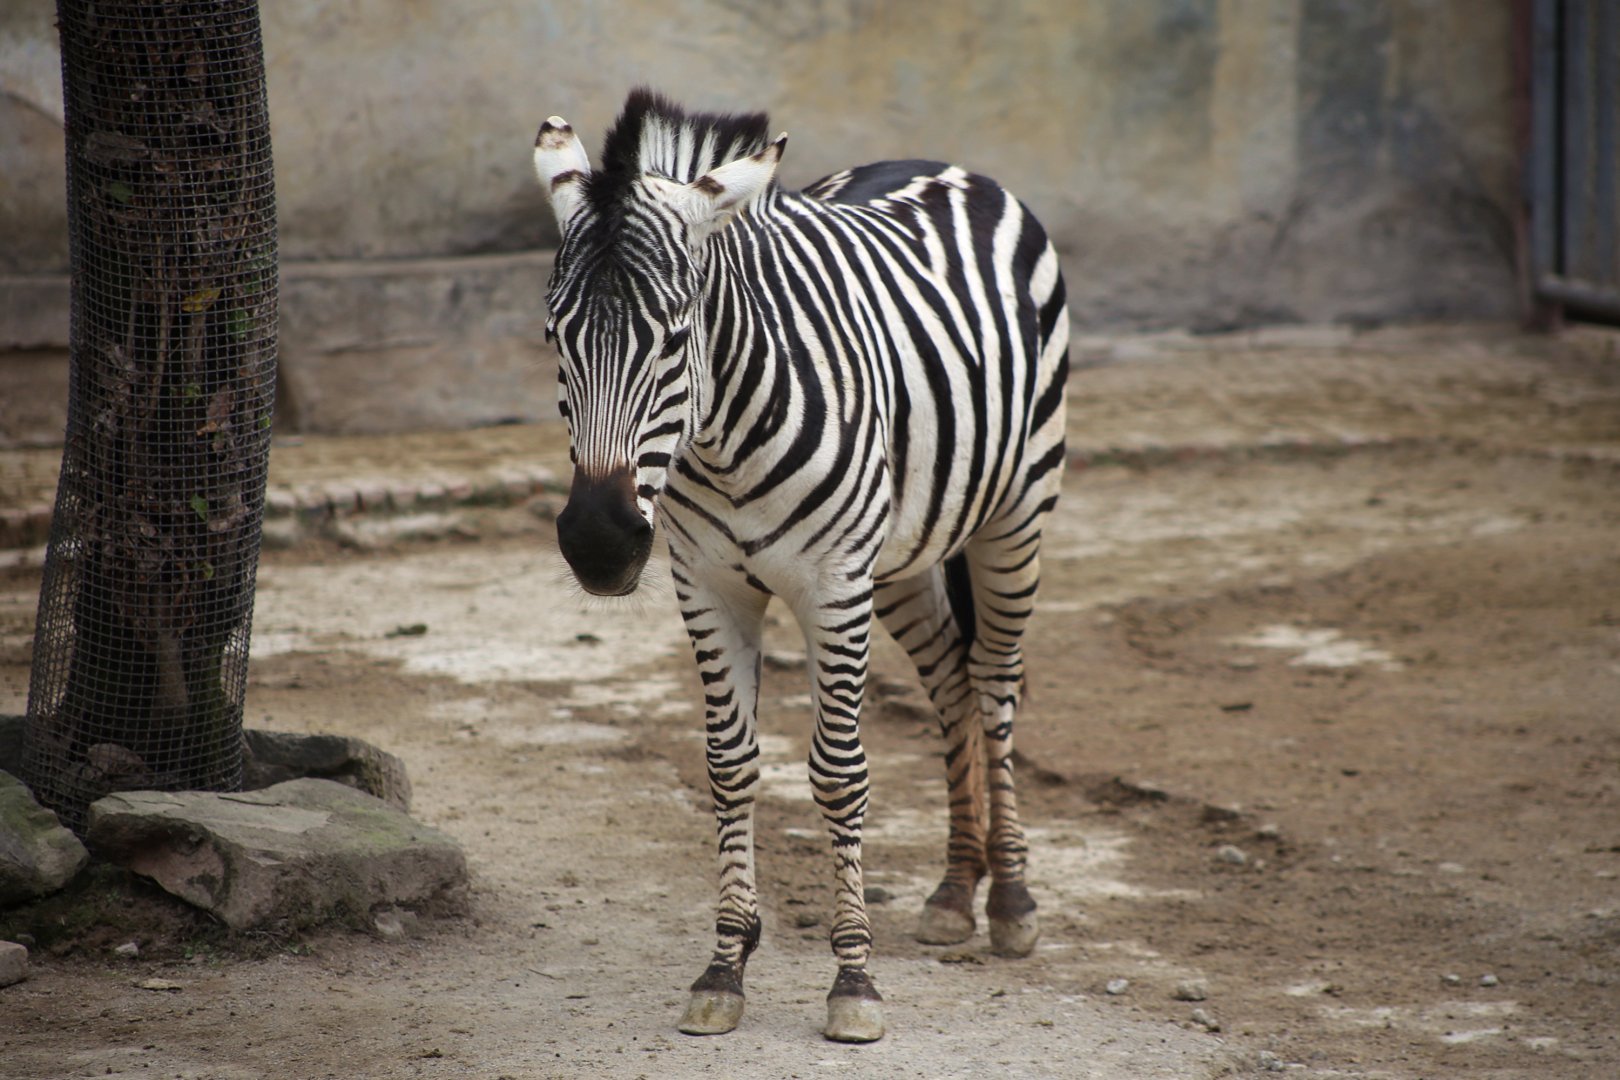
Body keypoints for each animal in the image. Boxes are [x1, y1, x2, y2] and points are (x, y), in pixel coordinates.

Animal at [532, 89, 1068, 1043]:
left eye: (674, 339)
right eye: (555, 336)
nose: (597, 541)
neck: (721, 440)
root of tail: (946, 164)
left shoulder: (831, 587)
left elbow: (839, 773)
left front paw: (853, 981)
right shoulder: (707, 586)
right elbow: (729, 765)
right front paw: (725, 962)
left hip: (1015, 515)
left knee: (996, 682)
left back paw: (1008, 899)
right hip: (902, 556)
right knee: (952, 681)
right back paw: (953, 890)